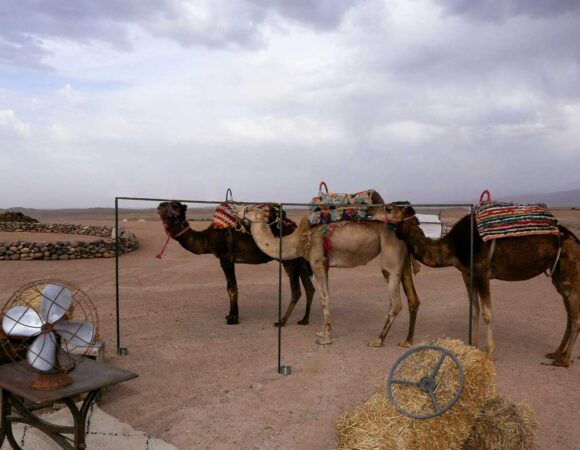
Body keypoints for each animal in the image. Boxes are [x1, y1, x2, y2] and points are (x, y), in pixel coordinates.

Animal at [156, 202, 314, 326]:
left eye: (175, 205)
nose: (159, 206)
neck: (208, 238)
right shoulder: (226, 260)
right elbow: (230, 287)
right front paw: (230, 315)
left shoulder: (225, 258)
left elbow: (232, 288)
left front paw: (233, 318)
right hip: (300, 261)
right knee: (310, 288)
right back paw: (304, 320)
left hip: (289, 261)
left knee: (296, 291)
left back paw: (282, 321)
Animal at [233, 206, 420, 346]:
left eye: (249, 208)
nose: (236, 209)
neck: (297, 240)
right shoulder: (325, 264)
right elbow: (327, 295)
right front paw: (322, 332)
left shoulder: (317, 260)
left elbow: (324, 298)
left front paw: (326, 337)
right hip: (403, 258)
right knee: (413, 299)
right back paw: (407, 341)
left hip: (391, 254)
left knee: (395, 301)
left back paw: (378, 340)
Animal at [380, 204, 580, 366]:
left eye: (389, 209)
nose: (375, 212)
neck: (454, 247)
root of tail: (573, 238)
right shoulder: (468, 273)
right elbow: (474, 309)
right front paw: (473, 345)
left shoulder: (482, 272)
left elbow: (487, 313)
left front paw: (490, 353)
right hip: (559, 278)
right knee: (569, 315)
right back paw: (555, 353)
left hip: (571, 275)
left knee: (575, 317)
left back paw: (563, 360)